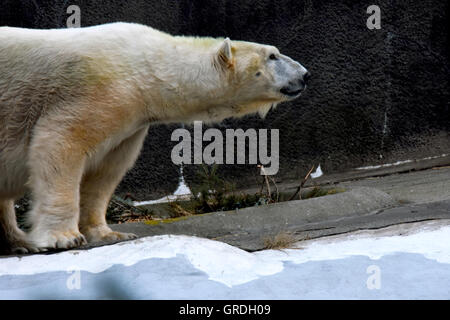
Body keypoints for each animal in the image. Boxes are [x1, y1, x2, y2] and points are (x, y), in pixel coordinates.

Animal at [0, 21, 310, 252]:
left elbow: (105, 173)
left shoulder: (129, 123)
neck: (145, 69)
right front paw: (64, 237)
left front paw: (110, 234)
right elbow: (60, 144)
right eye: (272, 55)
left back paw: (20, 241)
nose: (305, 75)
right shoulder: (92, 92)